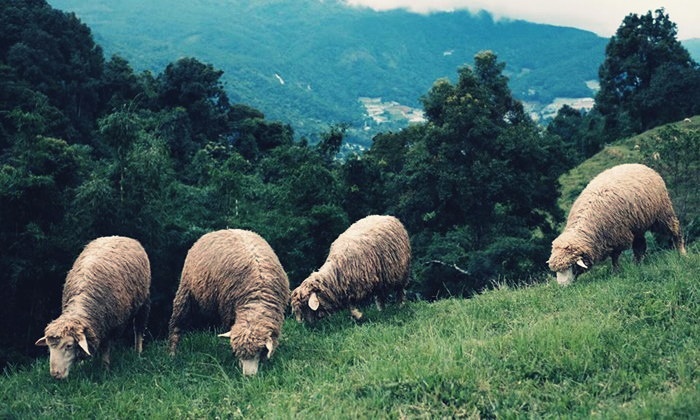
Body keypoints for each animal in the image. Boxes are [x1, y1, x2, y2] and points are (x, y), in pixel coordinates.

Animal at [34, 236, 151, 380]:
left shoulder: (109, 327)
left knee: (139, 329)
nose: (55, 375)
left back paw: (138, 352)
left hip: (143, 302)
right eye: (49, 347)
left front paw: (105, 369)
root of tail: (120, 236)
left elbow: (105, 348)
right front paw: (82, 364)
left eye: (69, 346)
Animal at [168, 228, 288, 376]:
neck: (256, 300)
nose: (248, 376)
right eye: (238, 353)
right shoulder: (229, 312)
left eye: (259, 351)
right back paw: (172, 353)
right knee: (176, 324)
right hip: (186, 292)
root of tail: (222, 230)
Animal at [548, 162, 684, 284]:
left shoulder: (616, 236)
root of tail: (637, 164)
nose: (562, 286)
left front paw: (616, 272)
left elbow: (614, 256)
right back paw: (638, 263)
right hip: (637, 225)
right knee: (640, 245)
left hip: (662, 213)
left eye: (570, 266)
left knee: (675, 230)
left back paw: (682, 253)